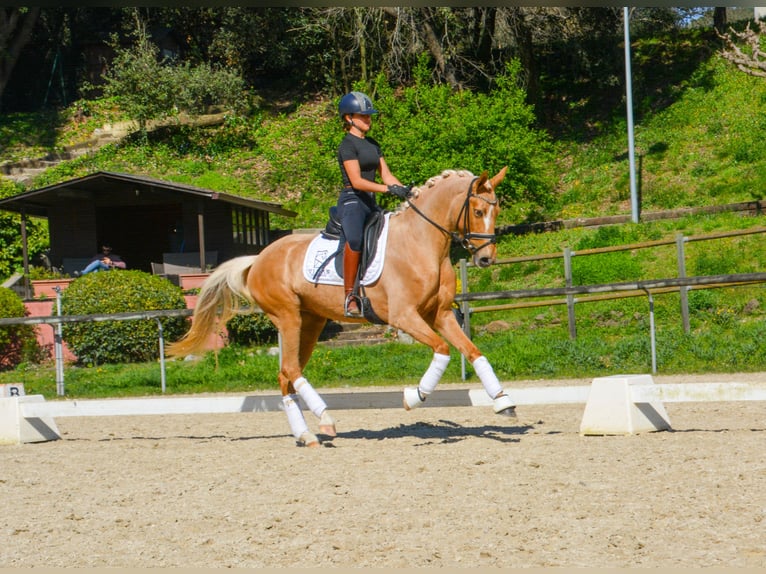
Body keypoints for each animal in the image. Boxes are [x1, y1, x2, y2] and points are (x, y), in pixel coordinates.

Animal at [166, 167, 516, 447]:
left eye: (496, 212)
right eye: (477, 210)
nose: (486, 259)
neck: (421, 241)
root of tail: (258, 259)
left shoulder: (439, 315)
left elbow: (473, 351)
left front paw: (503, 402)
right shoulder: (404, 316)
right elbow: (442, 350)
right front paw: (413, 396)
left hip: (310, 322)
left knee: (285, 374)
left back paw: (306, 434)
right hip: (288, 317)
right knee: (291, 369)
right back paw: (325, 419)